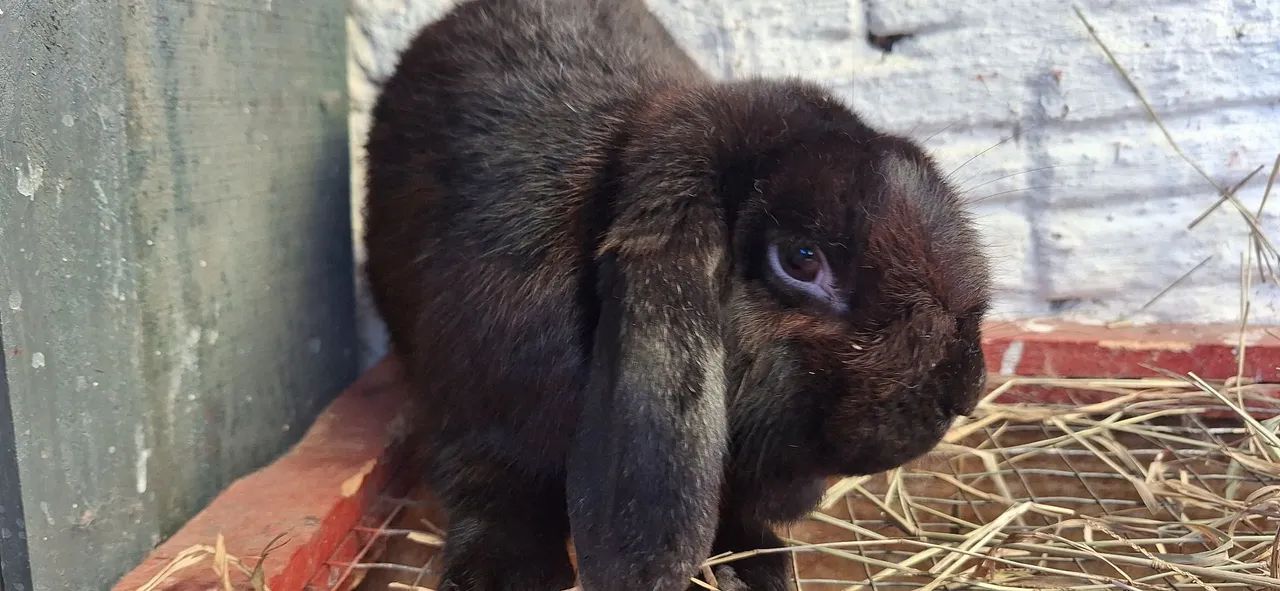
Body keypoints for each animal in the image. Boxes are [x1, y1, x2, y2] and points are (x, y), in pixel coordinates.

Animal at [362, 0, 992, 590]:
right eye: (800, 259)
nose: (965, 389)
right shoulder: (472, 423)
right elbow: (488, 492)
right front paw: (503, 576)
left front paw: (755, 568)